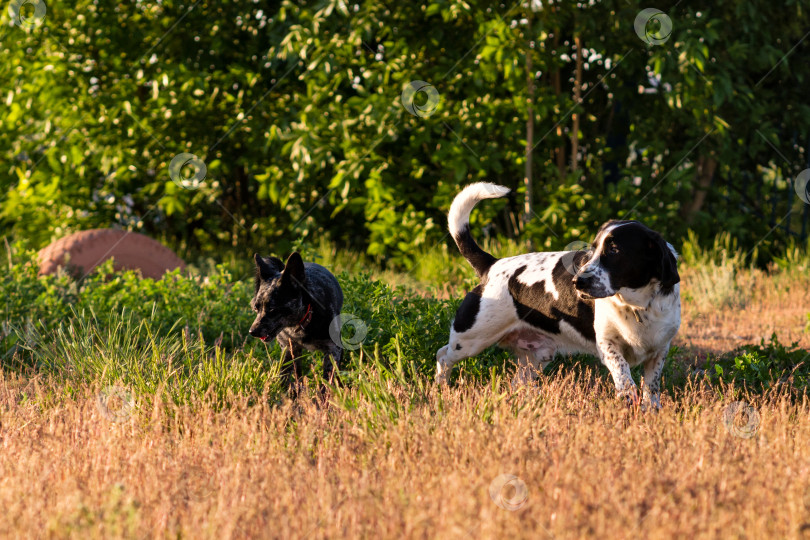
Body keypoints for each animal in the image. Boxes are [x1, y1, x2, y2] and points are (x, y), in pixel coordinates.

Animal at [249, 251, 344, 390]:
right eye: (256, 308)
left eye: (272, 309)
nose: (252, 332)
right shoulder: (288, 350)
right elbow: (284, 375)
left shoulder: (333, 349)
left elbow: (328, 378)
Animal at [432, 185, 680, 410]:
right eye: (592, 250)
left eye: (614, 250)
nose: (577, 282)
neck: (636, 306)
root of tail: (492, 265)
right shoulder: (608, 345)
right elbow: (622, 371)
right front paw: (627, 396)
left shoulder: (659, 351)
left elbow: (652, 387)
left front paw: (651, 410)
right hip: (470, 339)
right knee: (443, 355)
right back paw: (442, 390)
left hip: (535, 358)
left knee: (516, 382)